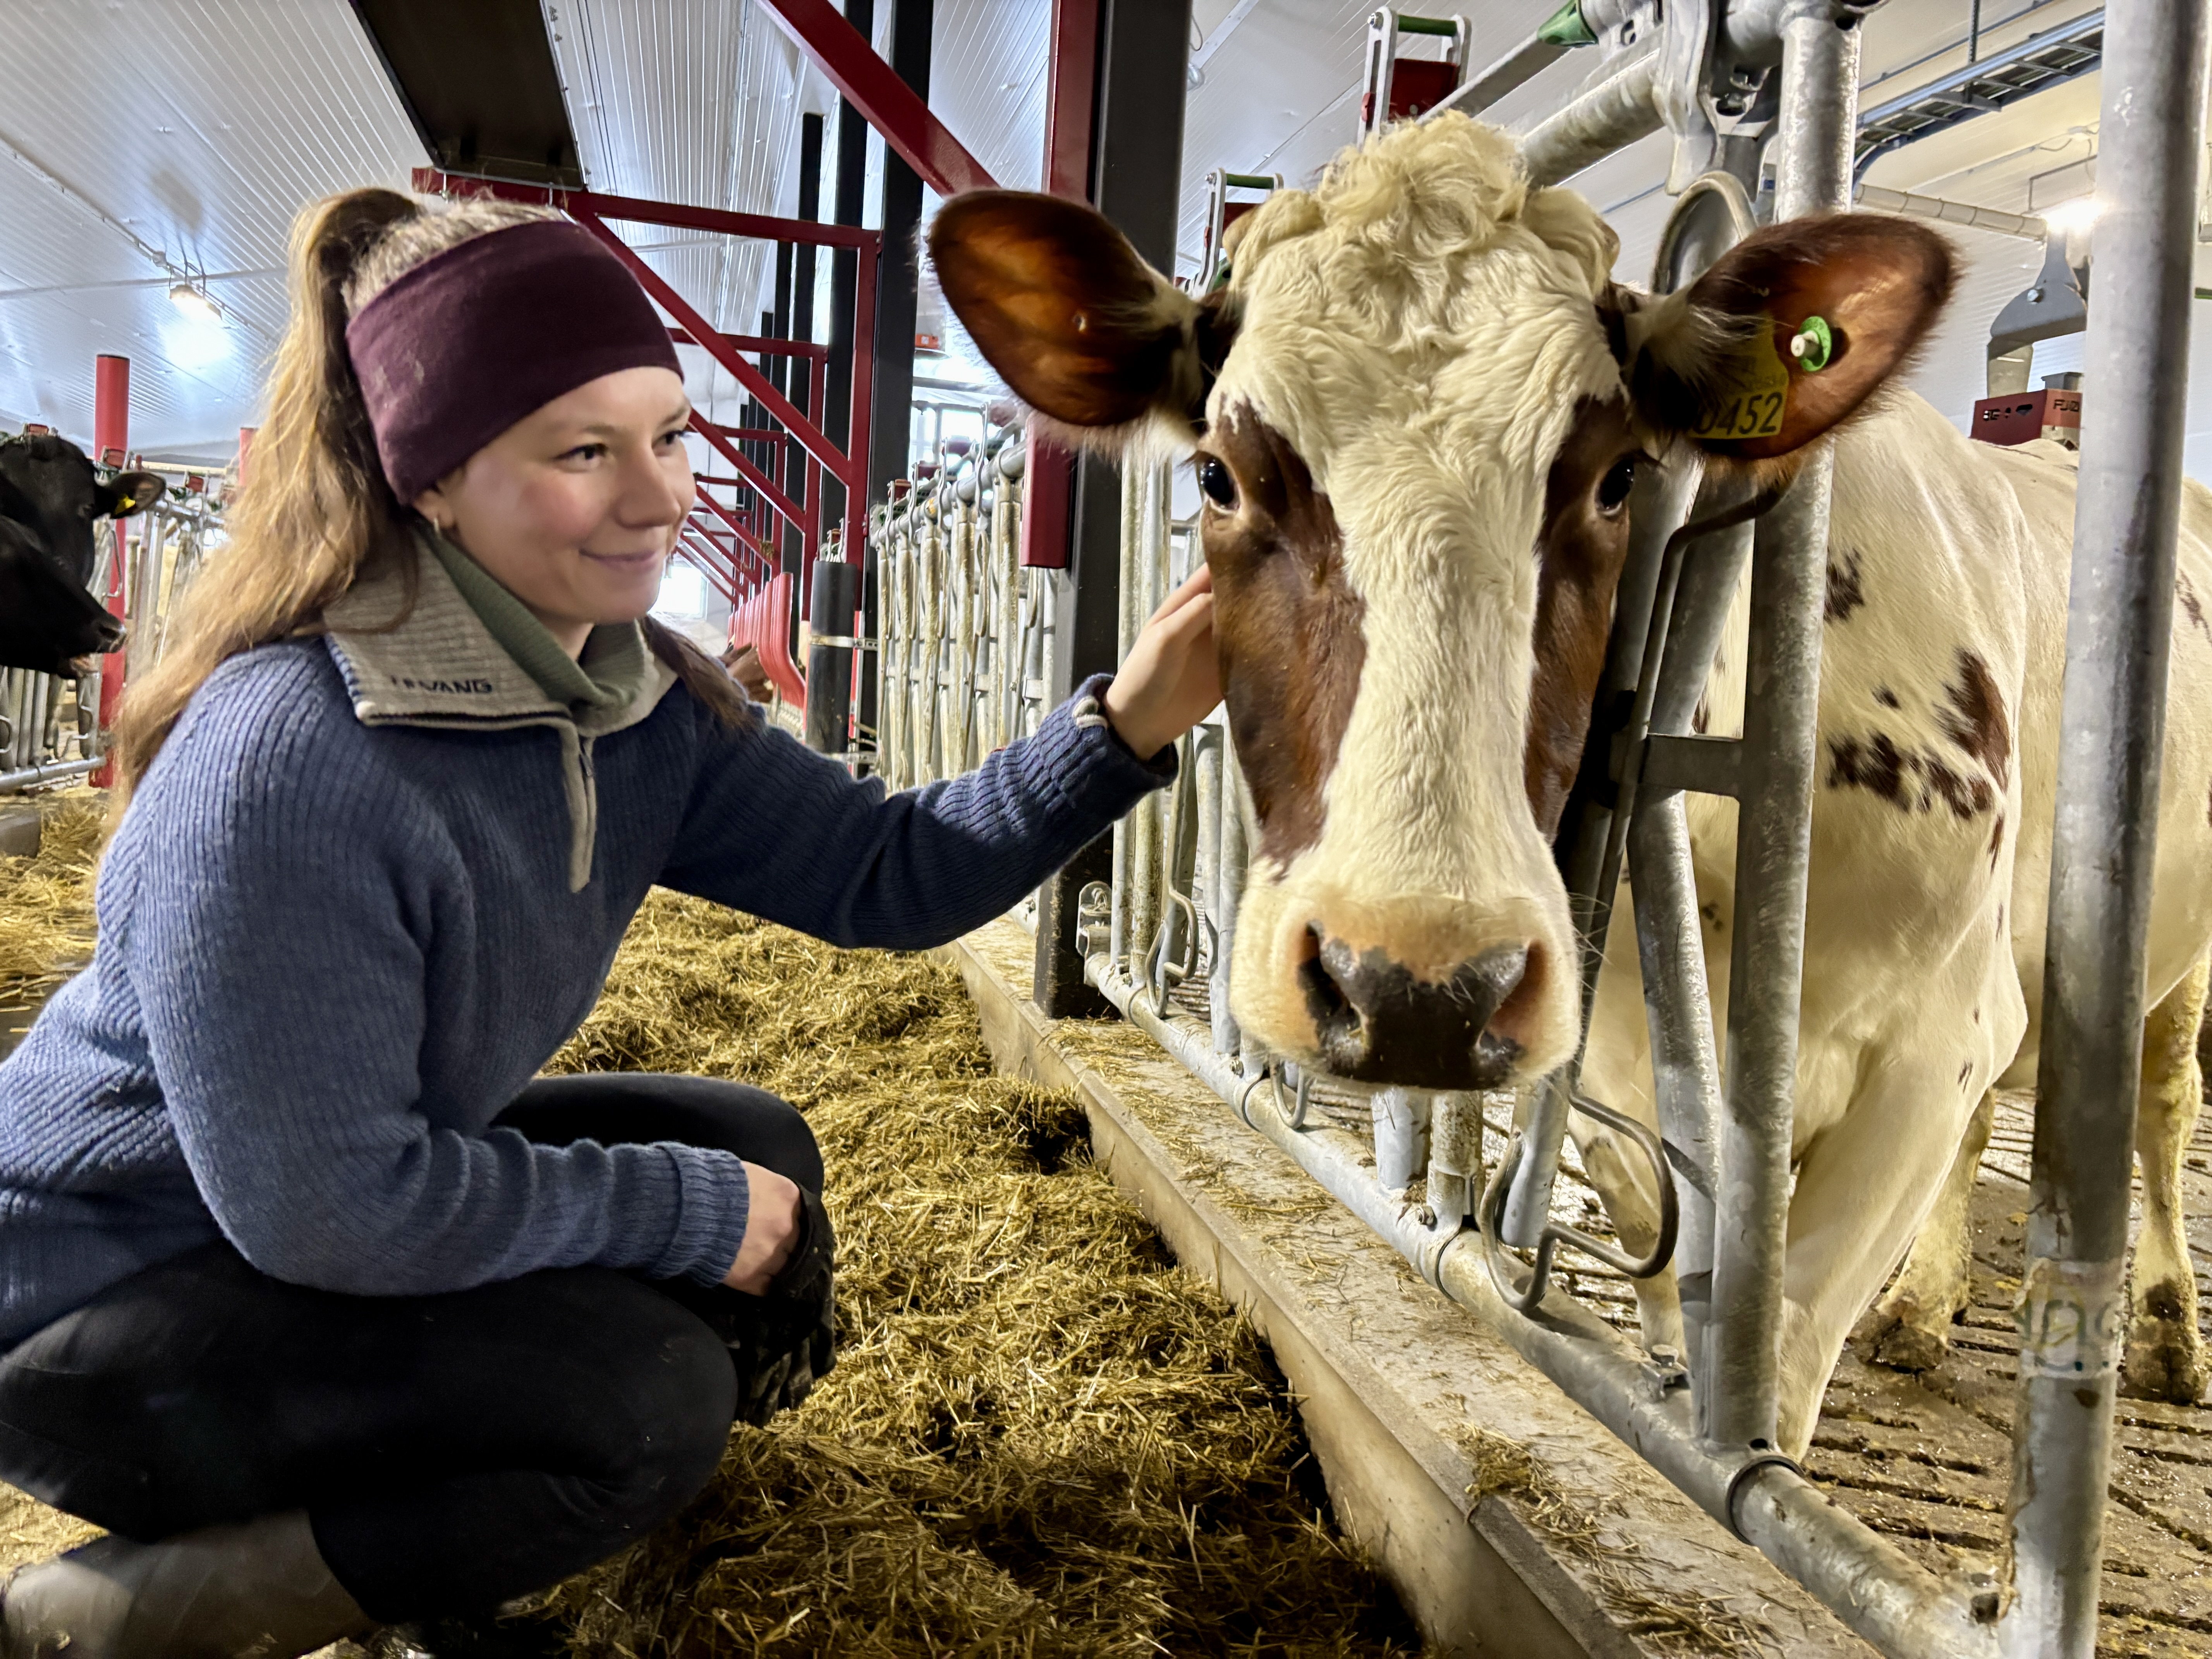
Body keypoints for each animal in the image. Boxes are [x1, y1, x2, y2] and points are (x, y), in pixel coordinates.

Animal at [927, 111, 2212, 1456]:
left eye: (1618, 478)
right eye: (1221, 476)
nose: (1414, 988)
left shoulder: (1933, 1036)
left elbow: (1780, 1352)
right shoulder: (1614, 1062)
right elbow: (1669, 1258)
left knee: (2158, 1108)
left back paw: (2162, 1328)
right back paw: (1925, 1307)